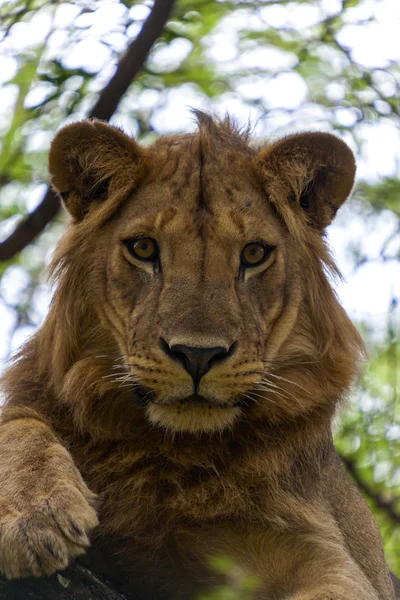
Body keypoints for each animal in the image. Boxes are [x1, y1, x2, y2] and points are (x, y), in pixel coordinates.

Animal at [0, 113, 396, 600]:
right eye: (144, 248)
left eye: (254, 253)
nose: (197, 355)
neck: (173, 455)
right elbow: (19, 424)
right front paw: (35, 516)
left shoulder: (338, 563)